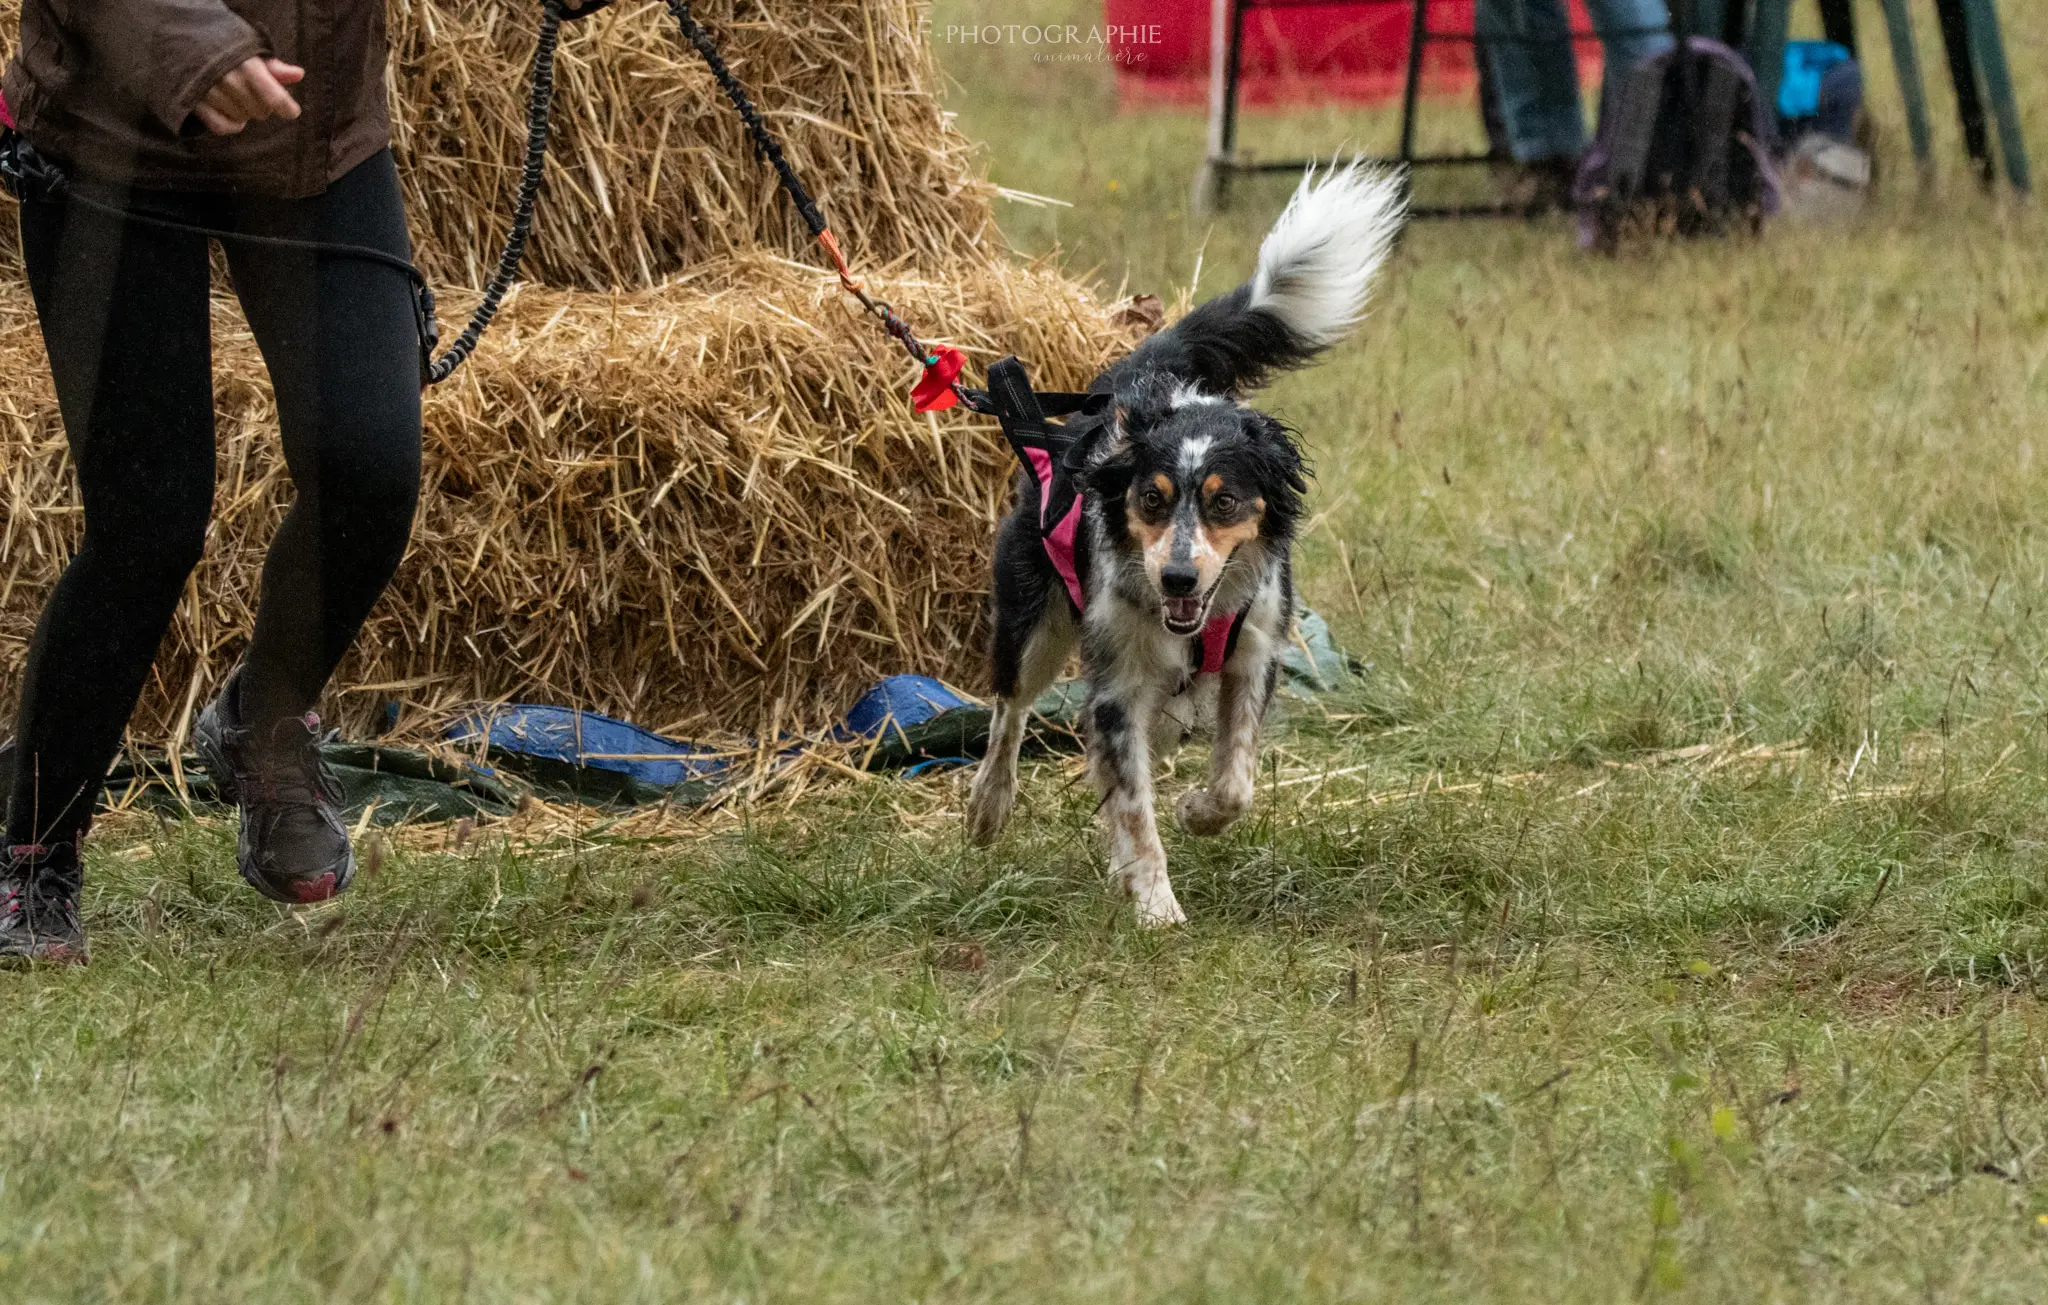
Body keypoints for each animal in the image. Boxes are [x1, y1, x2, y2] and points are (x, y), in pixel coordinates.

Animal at [966, 160, 1400, 925]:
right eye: (1151, 499)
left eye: (1225, 501)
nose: (1175, 580)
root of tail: (1130, 380)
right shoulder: (1115, 680)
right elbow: (1132, 802)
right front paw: (1155, 904)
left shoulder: (1255, 652)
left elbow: (1235, 779)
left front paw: (1199, 811)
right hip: (1032, 621)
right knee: (1009, 712)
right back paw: (990, 806)